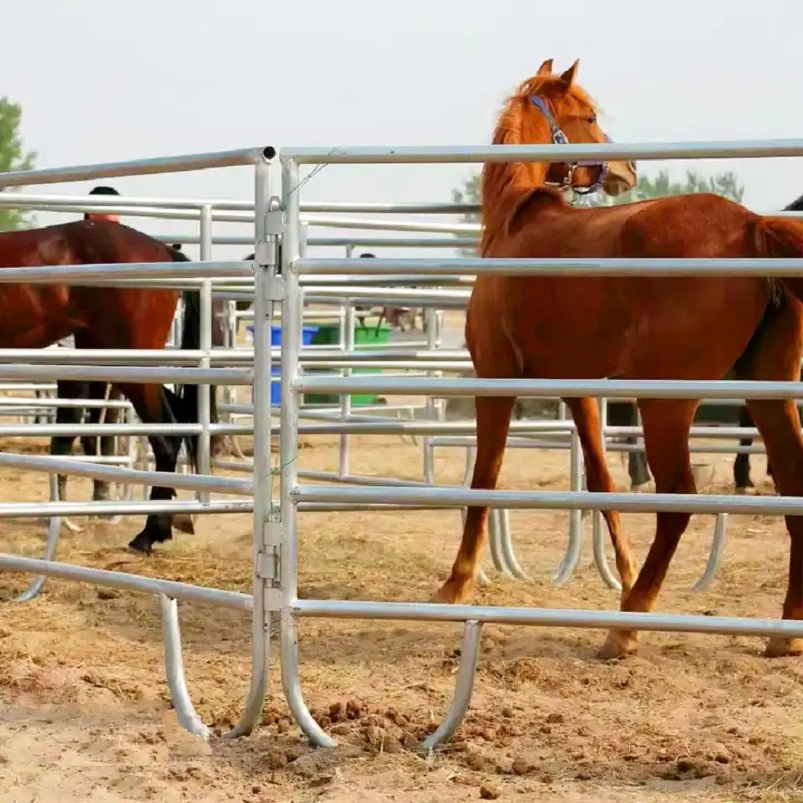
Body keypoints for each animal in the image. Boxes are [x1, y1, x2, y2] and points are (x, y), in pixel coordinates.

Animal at [433, 58, 803, 661]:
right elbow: (603, 483)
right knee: (792, 484)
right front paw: (623, 573)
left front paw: (456, 583)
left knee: (679, 499)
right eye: (588, 116)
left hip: (666, 403)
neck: (516, 222)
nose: (628, 168)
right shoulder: (579, 389)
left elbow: (484, 478)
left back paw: (627, 625)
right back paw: (784, 630)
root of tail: (751, 226)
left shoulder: (495, 379)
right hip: (766, 391)